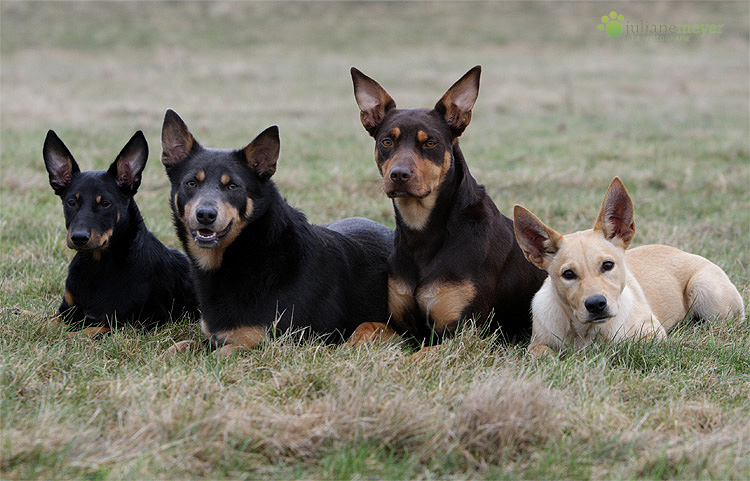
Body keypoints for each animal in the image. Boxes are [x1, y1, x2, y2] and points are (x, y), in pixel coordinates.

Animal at [44, 129, 200, 336]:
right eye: (71, 202)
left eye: (105, 203)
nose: (78, 238)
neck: (98, 266)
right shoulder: (66, 311)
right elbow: (43, 323)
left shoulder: (126, 323)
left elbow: (81, 333)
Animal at [160, 109, 394, 356]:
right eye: (191, 183)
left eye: (233, 186)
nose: (205, 214)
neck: (250, 249)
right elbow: (180, 346)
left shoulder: (274, 342)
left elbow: (221, 354)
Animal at [516, 177, 744, 356]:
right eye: (568, 274)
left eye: (607, 265)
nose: (596, 304)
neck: (584, 331)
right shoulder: (537, 342)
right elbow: (540, 352)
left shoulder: (651, 334)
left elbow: (618, 345)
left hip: (705, 289)